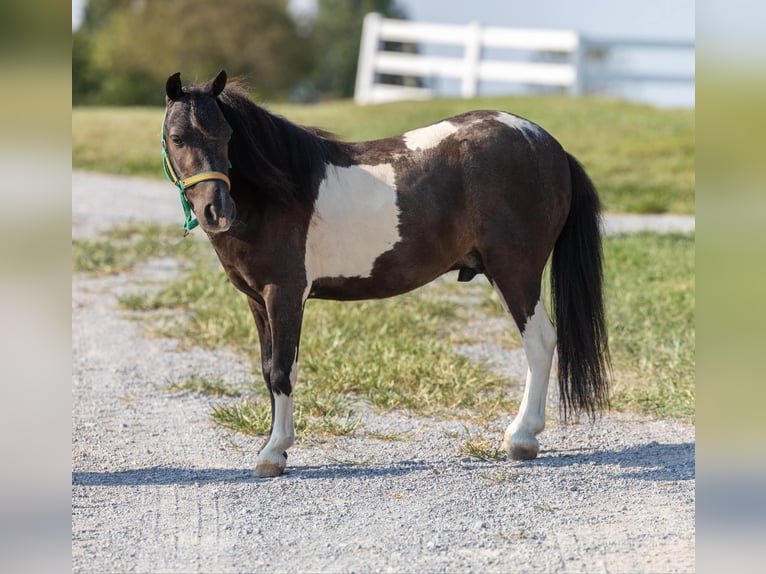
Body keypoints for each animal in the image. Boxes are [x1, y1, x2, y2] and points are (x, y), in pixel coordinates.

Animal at [162, 70, 612, 480]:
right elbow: (266, 367)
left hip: (515, 271)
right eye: (177, 138)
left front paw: (274, 453)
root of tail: (550, 146)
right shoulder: (257, 300)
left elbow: (282, 371)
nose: (217, 211)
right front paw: (275, 447)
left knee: (540, 341)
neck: (277, 195)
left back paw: (521, 438)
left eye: (226, 135)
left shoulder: (285, 294)